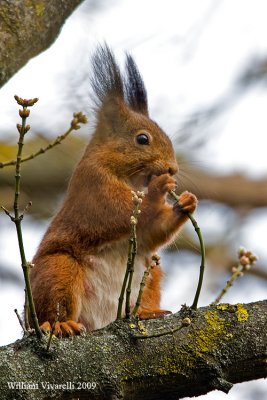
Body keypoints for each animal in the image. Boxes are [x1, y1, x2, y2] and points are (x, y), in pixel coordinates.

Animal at [29, 44, 199, 338]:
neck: (133, 181)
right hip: (58, 270)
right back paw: (61, 324)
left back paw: (147, 312)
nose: (172, 169)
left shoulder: (145, 236)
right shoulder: (94, 186)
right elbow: (118, 212)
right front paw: (159, 189)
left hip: (152, 273)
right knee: (53, 308)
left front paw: (185, 203)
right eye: (142, 139)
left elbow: (152, 232)